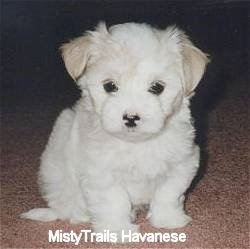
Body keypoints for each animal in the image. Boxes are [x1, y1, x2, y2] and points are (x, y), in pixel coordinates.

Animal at [21, 21, 209, 237]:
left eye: (157, 87)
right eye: (110, 86)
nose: (131, 117)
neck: (135, 144)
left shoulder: (181, 162)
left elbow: (168, 193)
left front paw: (168, 220)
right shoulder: (100, 172)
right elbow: (113, 201)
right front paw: (118, 230)